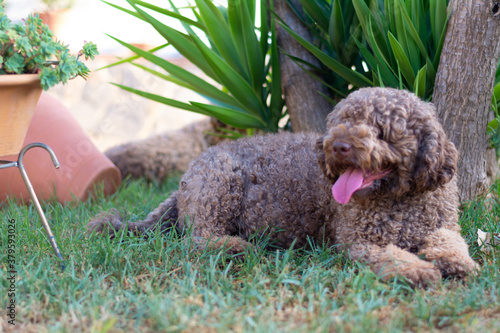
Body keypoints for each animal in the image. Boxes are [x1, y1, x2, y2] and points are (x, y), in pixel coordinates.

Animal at [88, 87, 478, 286]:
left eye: (381, 129)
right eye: (341, 121)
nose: (337, 146)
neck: (399, 198)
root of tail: (189, 171)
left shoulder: (443, 224)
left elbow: (453, 242)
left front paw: (456, 262)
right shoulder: (361, 242)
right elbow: (392, 256)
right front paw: (418, 270)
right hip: (220, 182)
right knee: (197, 238)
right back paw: (233, 247)